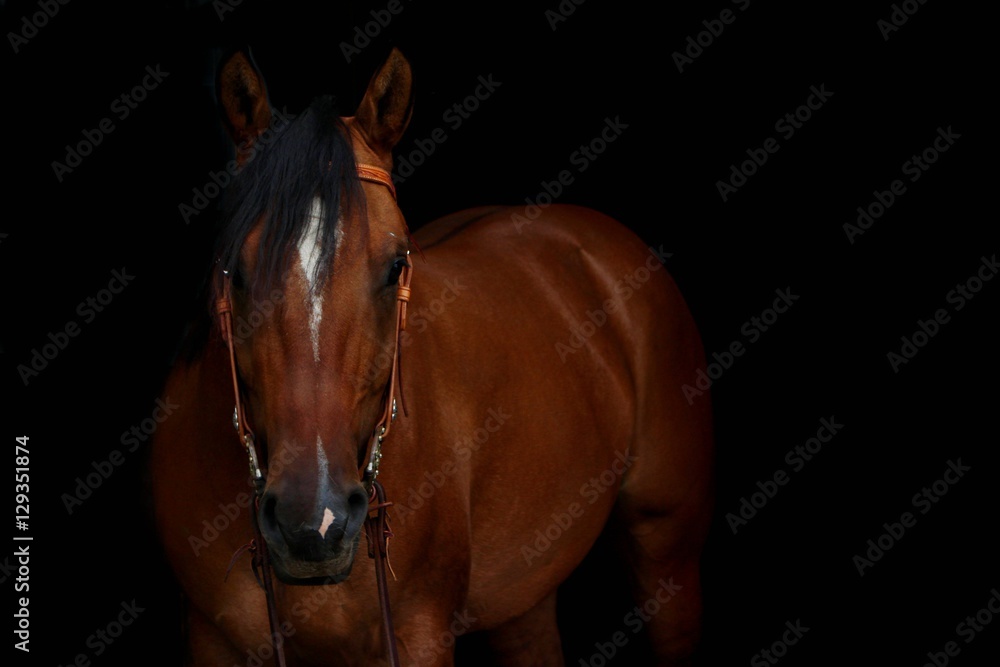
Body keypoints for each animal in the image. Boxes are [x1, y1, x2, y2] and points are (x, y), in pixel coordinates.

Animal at [150, 47, 713, 666]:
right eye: (236, 271)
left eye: (397, 264)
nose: (313, 523)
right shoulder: (210, 637)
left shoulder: (422, 633)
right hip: (524, 596)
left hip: (666, 546)